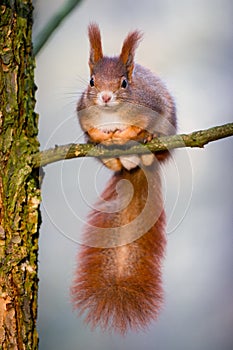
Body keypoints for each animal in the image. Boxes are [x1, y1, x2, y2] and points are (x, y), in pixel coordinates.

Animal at [71, 23, 177, 334]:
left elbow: (142, 124)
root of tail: (134, 166)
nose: (106, 98)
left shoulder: (153, 104)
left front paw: (131, 133)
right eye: (92, 81)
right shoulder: (83, 114)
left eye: (125, 83)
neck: (112, 114)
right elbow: (91, 131)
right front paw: (102, 137)